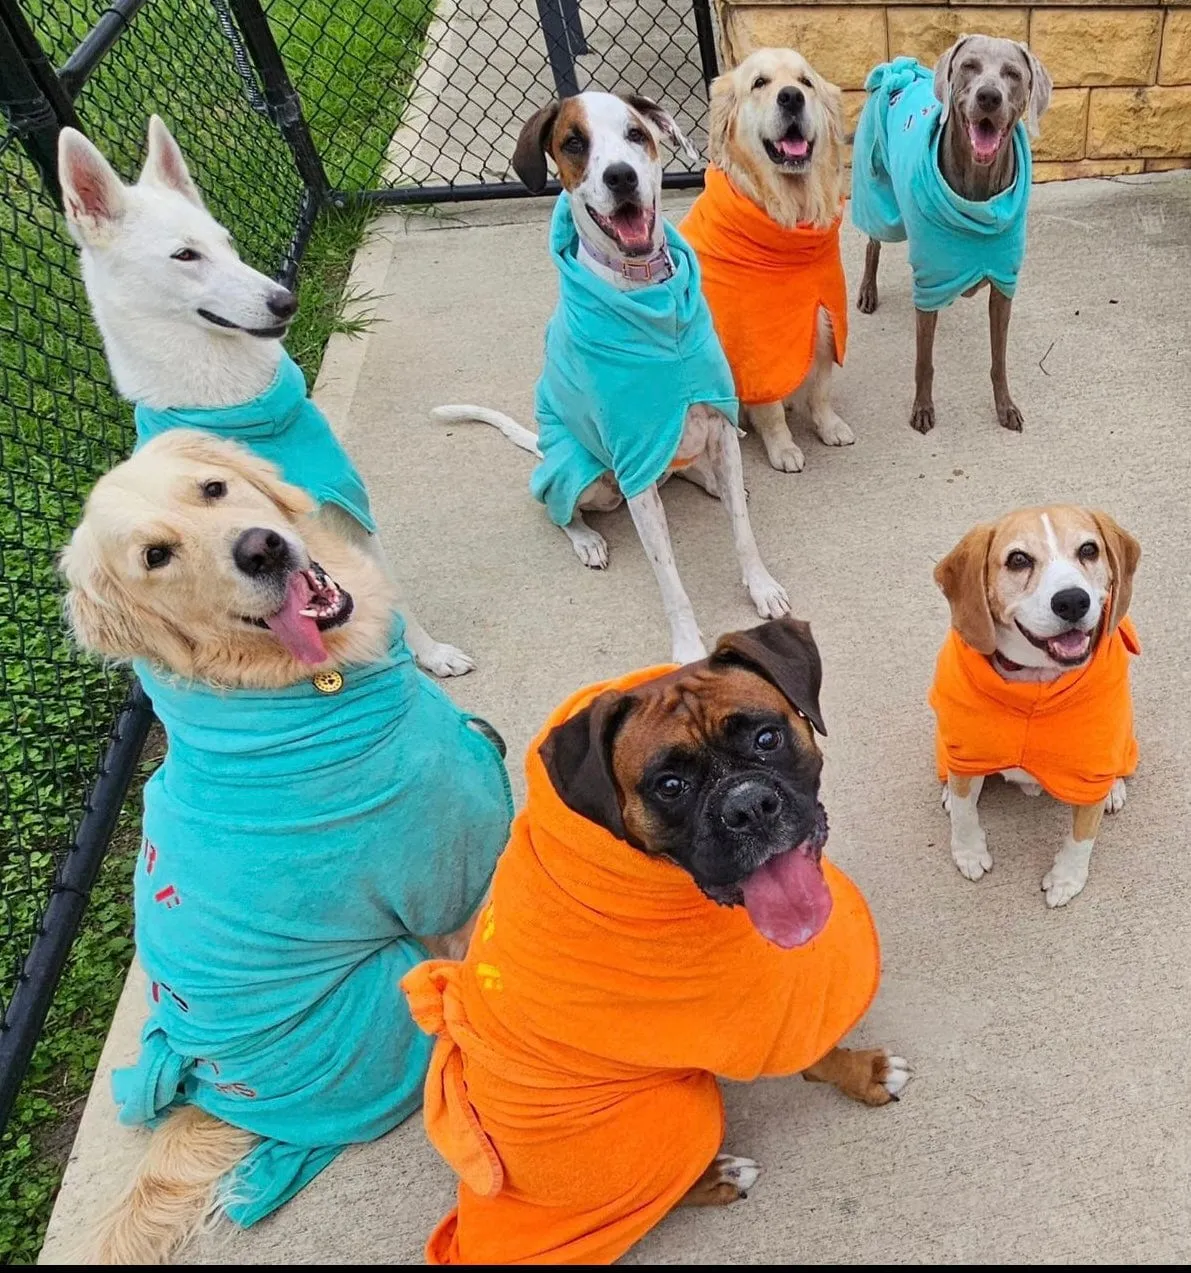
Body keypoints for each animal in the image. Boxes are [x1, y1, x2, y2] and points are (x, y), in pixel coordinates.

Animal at [56, 117, 473, 677]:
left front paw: (429, 651)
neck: (237, 407)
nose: (285, 300)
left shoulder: (351, 513)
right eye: (185, 255)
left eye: (228, 242)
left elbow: (389, 589)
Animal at [61, 430, 511, 1262]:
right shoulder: (448, 882)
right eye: (156, 556)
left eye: (211, 489)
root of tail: (211, 1090)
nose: (261, 547)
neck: (292, 686)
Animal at [676, 44, 849, 476]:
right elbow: (770, 409)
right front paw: (783, 447)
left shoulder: (824, 320)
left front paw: (828, 425)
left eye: (805, 82)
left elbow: (821, 390)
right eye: (759, 83)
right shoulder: (757, 347)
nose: (791, 97)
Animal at [936, 504, 1140, 906]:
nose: (1072, 600)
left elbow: (1082, 837)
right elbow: (965, 814)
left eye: (1089, 550)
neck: (1036, 681)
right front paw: (968, 852)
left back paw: (1114, 789)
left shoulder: (1090, 775)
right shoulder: (965, 752)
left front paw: (1066, 879)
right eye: (1018, 560)